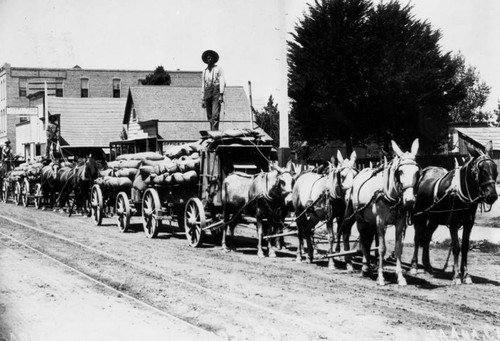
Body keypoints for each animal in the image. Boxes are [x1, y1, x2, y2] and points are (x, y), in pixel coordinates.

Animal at [410, 145, 496, 282]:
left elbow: (465, 247)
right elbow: (456, 247)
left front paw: (465, 274)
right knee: (418, 238)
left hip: (434, 220)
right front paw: (456, 275)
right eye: (482, 171)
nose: (492, 196)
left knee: (427, 238)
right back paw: (414, 266)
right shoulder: (453, 223)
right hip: (420, 216)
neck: (461, 191)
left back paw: (428, 266)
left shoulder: (468, 223)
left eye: (495, 169)